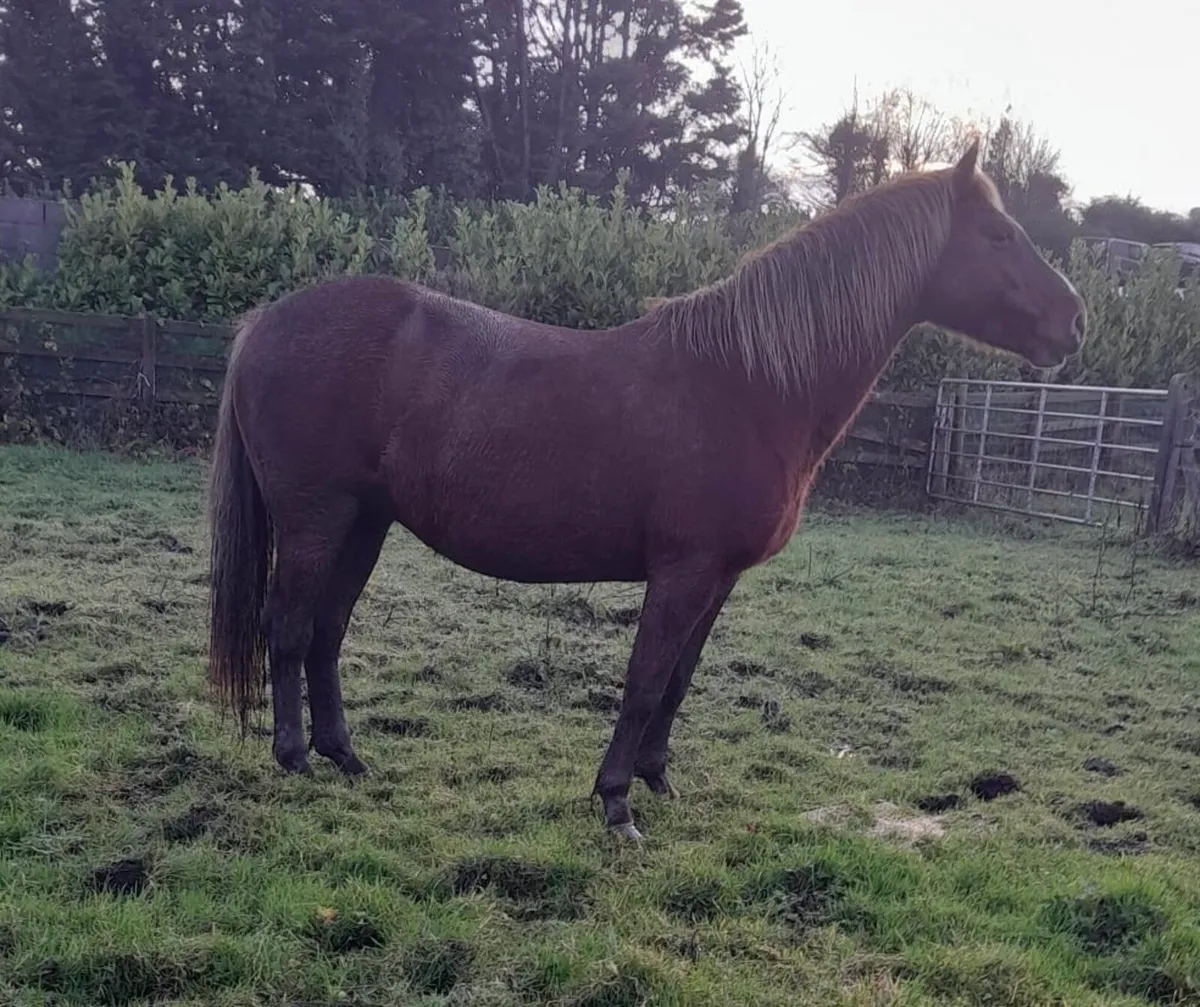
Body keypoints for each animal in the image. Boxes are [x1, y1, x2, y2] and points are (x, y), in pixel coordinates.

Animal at [206, 141, 1086, 840]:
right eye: (999, 235)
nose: (1075, 322)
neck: (751, 383)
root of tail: (263, 324)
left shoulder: (719, 578)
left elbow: (678, 680)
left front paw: (662, 779)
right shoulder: (682, 571)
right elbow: (641, 680)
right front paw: (616, 803)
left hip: (366, 523)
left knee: (327, 632)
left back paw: (347, 757)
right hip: (317, 520)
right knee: (290, 628)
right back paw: (295, 759)